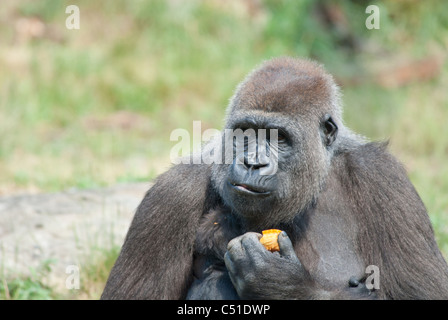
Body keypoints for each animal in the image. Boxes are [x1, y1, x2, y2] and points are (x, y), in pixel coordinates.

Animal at [100, 56, 448, 298]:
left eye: (278, 137)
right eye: (245, 133)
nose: (253, 163)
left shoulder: (383, 177)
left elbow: (423, 293)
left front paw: (283, 284)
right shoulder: (172, 194)